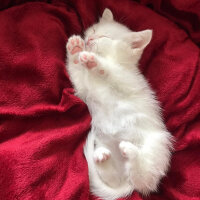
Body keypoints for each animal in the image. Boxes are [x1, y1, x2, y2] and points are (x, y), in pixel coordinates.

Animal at [65, 8, 173, 200]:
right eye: (94, 31)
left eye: (105, 37)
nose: (90, 39)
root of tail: (127, 179)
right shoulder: (83, 89)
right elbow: (76, 72)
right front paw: (75, 49)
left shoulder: (127, 80)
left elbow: (112, 71)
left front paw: (95, 61)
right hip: (108, 148)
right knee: (114, 179)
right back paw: (101, 157)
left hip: (157, 146)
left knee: (144, 179)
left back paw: (130, 151)